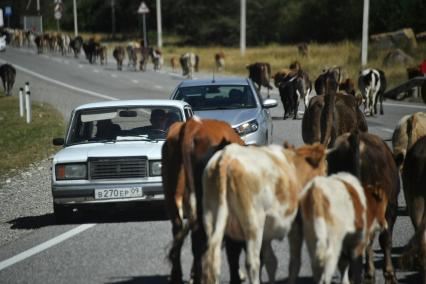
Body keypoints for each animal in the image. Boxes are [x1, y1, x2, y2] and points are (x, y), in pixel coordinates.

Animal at [201, 142, 326, 284]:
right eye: (325, 167)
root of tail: (227, 156)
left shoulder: (267, 233)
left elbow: (271, 261)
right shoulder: (295, 225)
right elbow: (294, 262)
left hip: (211, 217)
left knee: (211, 259)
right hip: (253, 223)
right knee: (252, 263)